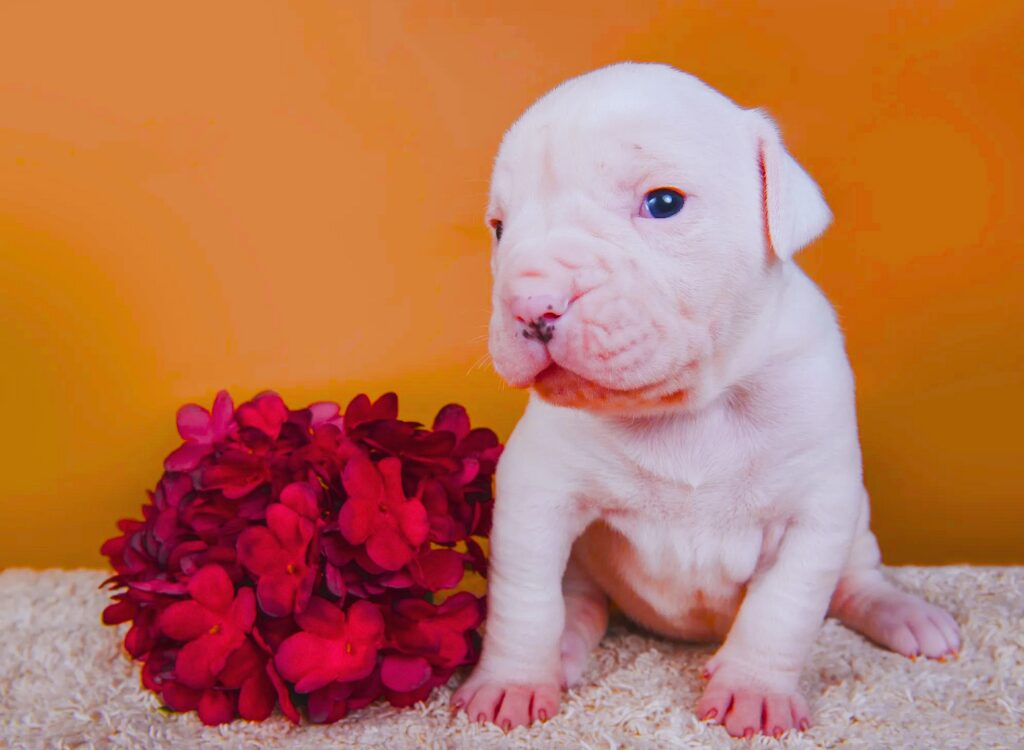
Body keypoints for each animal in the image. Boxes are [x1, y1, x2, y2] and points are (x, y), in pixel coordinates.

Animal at [454, 59, 958, 737]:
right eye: (500, 228)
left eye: (663, 203)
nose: (531, 305)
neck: (687, 406)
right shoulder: (536, 492)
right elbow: (525, 599)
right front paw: (511, 681)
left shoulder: (818, 508)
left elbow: (785, 607)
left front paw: (755, 689)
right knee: (578, 599)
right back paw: (565, 647)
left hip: (858, 521)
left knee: (855, 579)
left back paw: (905, 614)